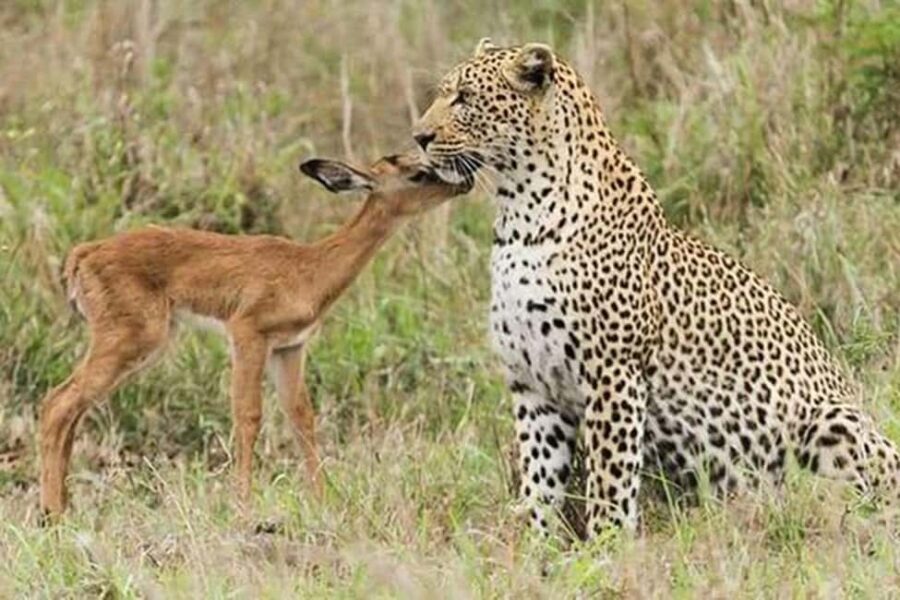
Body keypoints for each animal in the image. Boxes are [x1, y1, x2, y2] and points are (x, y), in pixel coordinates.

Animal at [412, 38, 900, 538]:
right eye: (444, 93)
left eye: (465, 98)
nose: (419, 137)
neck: (518, 214)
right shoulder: (532, 384)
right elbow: (539, 477)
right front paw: (537, 542)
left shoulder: (612, 373)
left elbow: (609, 476)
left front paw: (605, 545)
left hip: (832, 422)